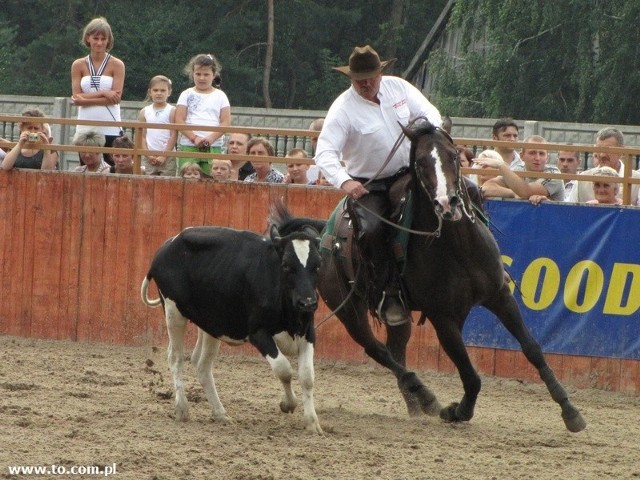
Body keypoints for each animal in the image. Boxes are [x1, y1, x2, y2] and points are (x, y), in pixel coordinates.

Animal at [142, 202, 328, 436]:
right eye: (286, 265)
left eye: (317, 265)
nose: (308, 302)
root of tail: (168, 245)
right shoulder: (258, 333)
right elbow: (284, 369)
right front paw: (288, 404)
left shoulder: (308, 331)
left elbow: (307, 376)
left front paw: (312, 422)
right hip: (173, 313)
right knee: (175, 358)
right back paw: (182, 409)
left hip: (211, 324)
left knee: (201, 364)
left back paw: (220, 413)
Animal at [318, 121, 588, 436]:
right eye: (420, 162)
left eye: (454, 156)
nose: (447, 203)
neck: (457, 246)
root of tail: (325, 234)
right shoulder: (443, 317)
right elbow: (470, 374)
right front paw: (458, 411)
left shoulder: (500, 296)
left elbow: (532, 348)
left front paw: (569, 410)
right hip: (348, 310)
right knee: (377, 350)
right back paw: (426, 396)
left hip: (398, 317)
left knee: (396, 350)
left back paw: (416, 405)